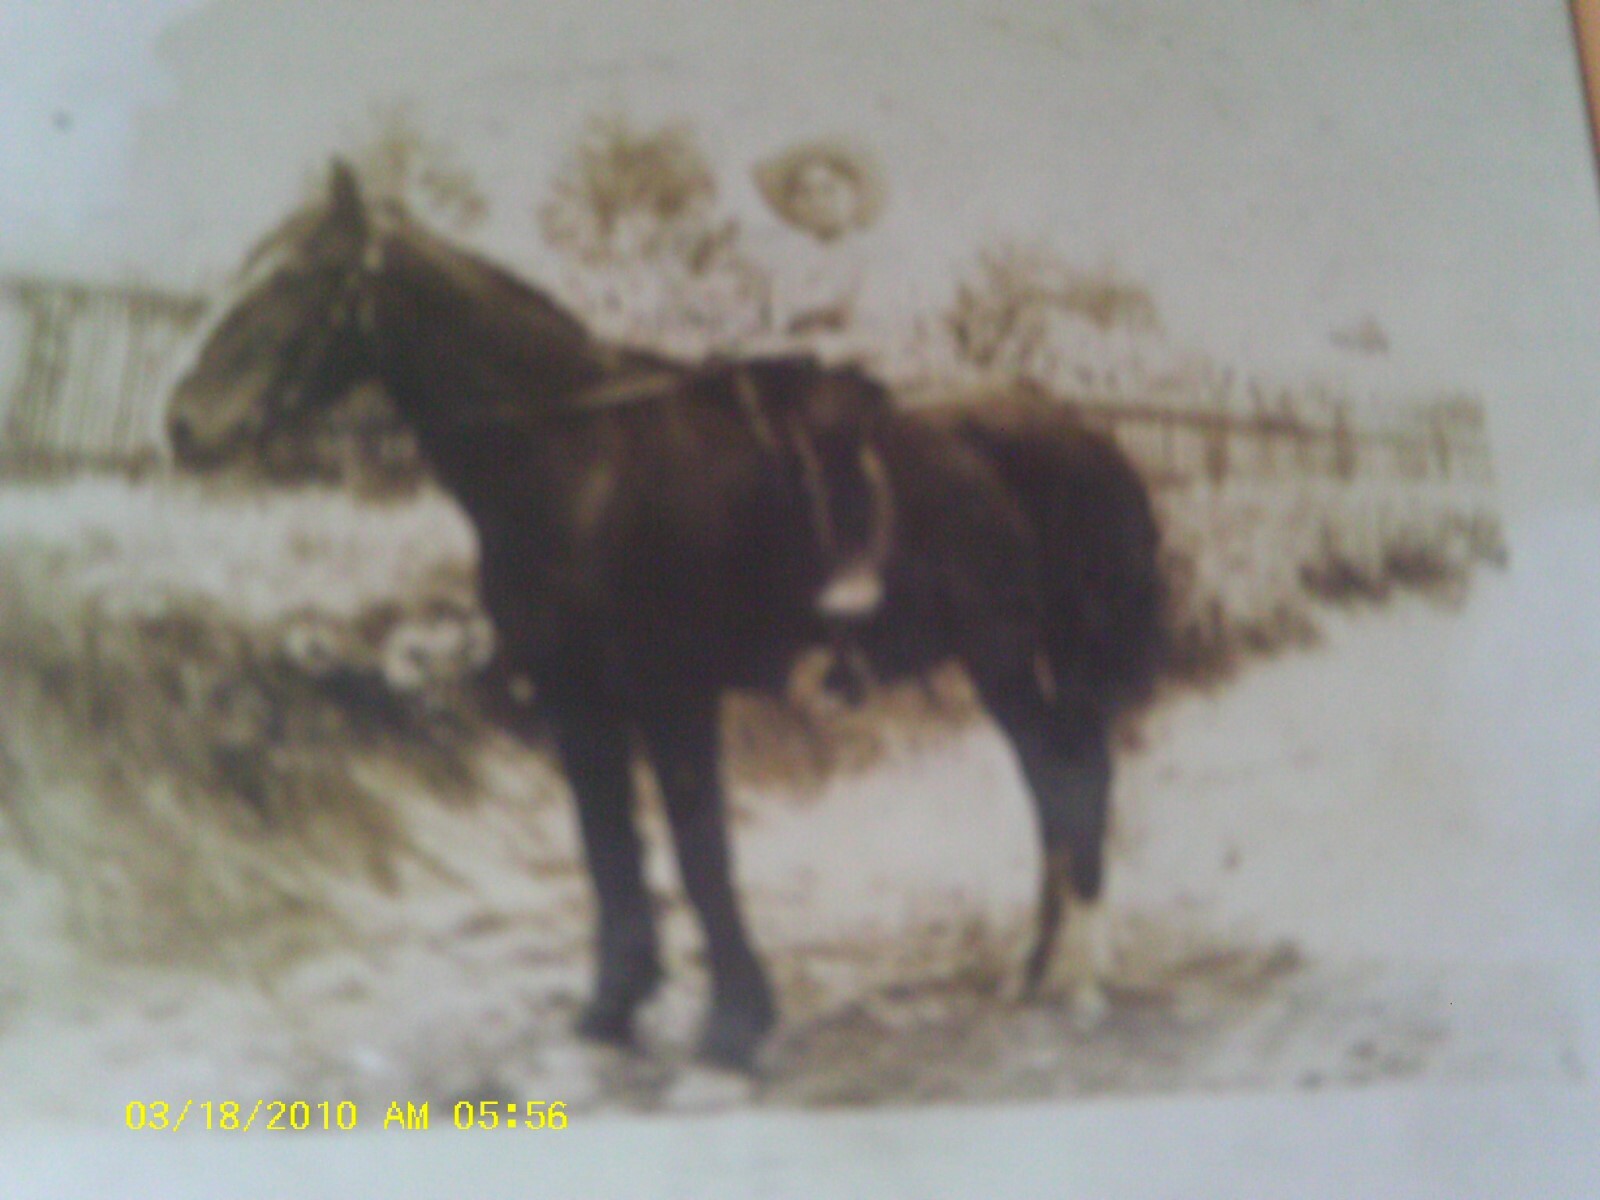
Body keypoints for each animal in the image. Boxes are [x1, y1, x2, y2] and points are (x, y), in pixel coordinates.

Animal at [167, 160, 1166, 1072]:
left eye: (299, 278)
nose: (181, 426)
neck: (581, 465)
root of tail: (1078, 429)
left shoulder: (672, 694)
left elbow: (697, 852)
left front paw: (734, 1024)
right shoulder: (576, 698)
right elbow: (609, 848)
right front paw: (613, 1008)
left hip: (1010, 654)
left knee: (1069, 777)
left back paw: (1083, 978)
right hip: (1002, 661)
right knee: (1052, 780)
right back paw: (1038, 968)